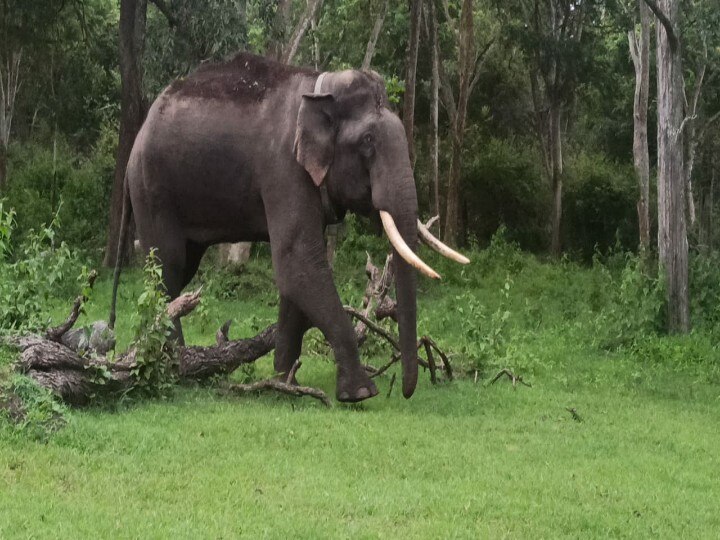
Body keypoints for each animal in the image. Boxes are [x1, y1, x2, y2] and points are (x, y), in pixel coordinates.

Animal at [107, 53, 466, 400]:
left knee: (180, 270)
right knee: (167, 267)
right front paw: (360, 393)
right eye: (367, 141)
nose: (407, 392)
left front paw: (284, 380)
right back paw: (174, 366)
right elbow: (298, 261)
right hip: (153, 190)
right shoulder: (284, 168)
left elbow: (297, 275)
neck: (321, 87)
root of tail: (136, 140)